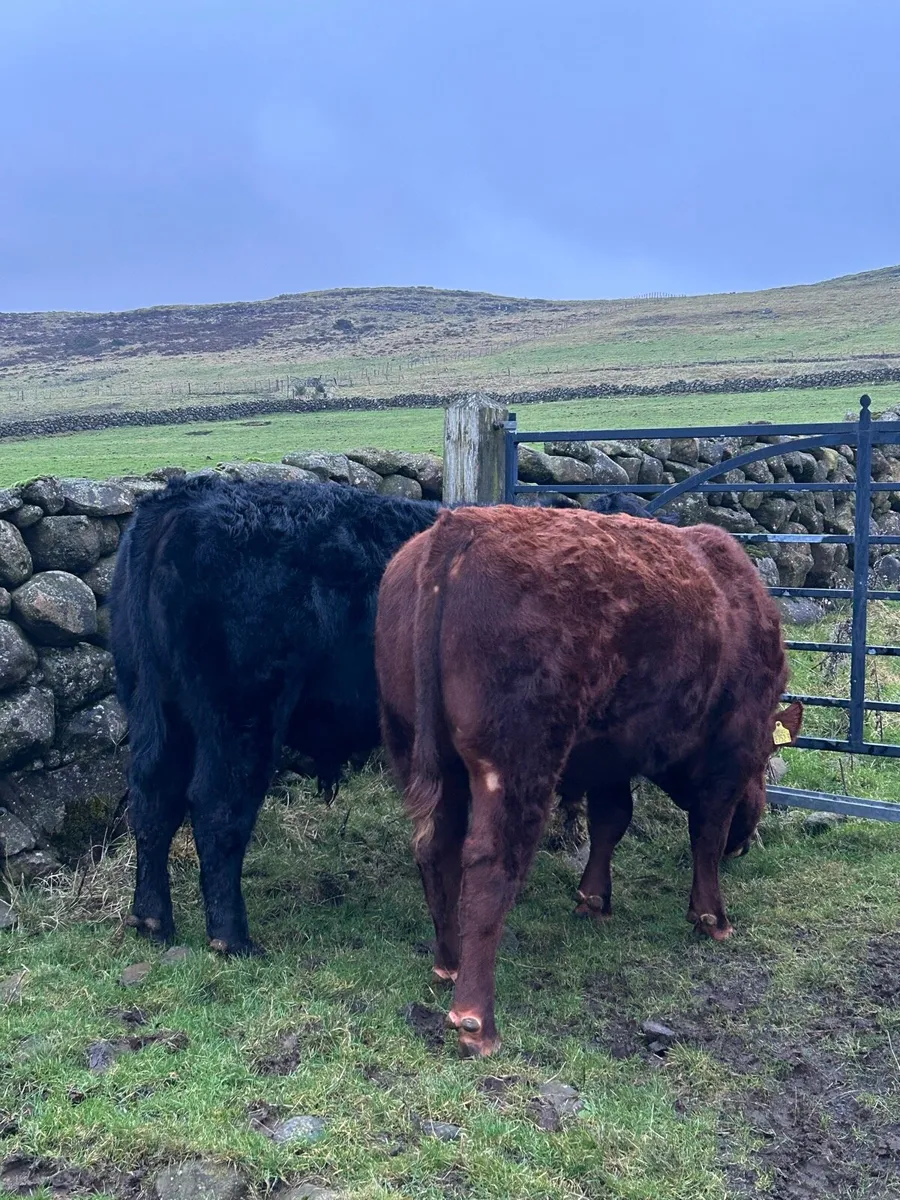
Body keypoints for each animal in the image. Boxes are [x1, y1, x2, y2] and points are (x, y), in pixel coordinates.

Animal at [109, 475, 438, 955]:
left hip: (154, 705)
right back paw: (232, 939)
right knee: (217, 807)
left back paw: (152, 920)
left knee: (154, 799)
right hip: (244, 715)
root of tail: (181, 498)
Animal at [375, 505, 802, 1057]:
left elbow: (610, 821)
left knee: (436, 848)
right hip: (517, 762)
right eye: (767, 763)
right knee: (490, 863)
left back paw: (447, 962)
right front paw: (712, 917)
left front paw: (594, 899)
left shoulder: (608, 757)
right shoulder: (731, 750)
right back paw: (476, 1021)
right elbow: (706, 831)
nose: (747, 842)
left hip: (415, 747)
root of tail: (462, 523)